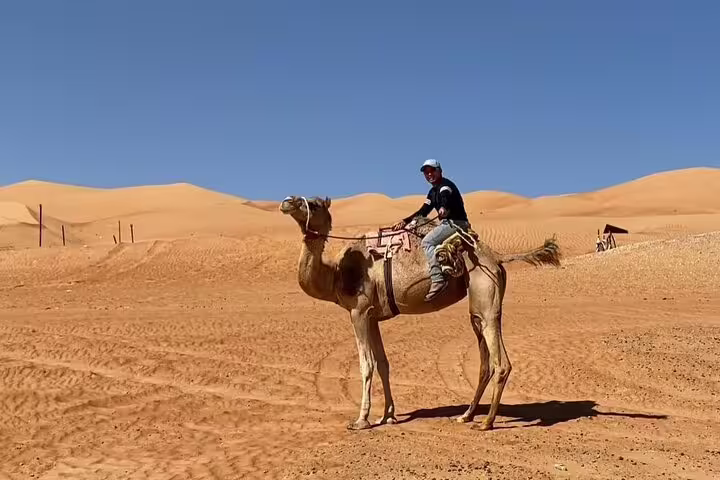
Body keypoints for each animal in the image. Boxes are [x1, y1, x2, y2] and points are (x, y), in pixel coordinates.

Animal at [280, 195, 561, 430]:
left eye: (313, 203)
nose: (287, 201)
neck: (338, 272)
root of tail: (497, 256)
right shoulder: (372, 316)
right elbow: (383, 364)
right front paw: (388, 416)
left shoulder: (358, 311)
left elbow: (366, 364)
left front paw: (361, 421)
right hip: (480, 306)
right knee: (485, 358)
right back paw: (467, 415)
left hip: (485, 293)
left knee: (500, 363)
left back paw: (486, 422)